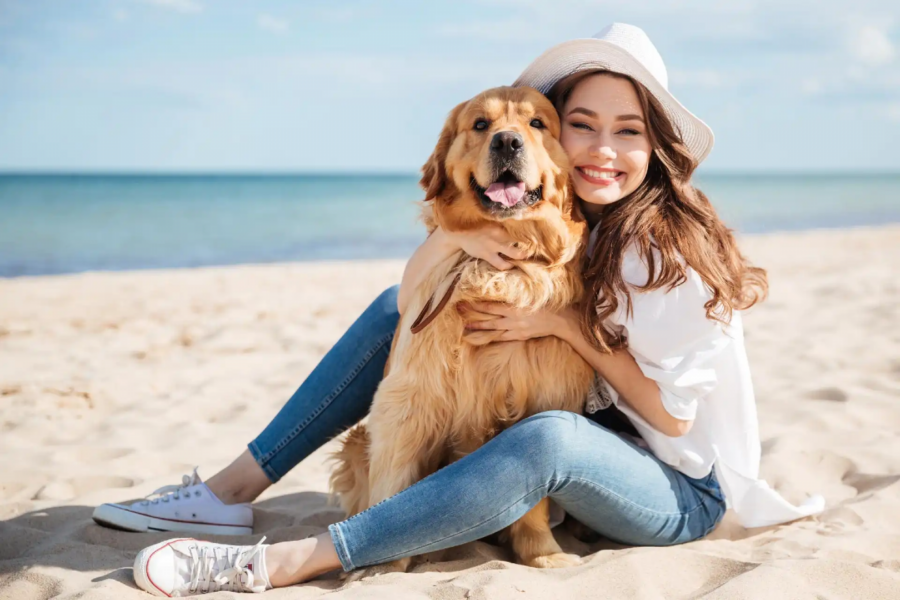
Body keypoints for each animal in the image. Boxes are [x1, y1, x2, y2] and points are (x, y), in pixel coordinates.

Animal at [330, 84, 596, 572]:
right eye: (480, 124)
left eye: (537, 123)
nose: (507, 142)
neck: (501, 262)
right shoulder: (408, 400)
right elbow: (393, 491)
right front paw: (384, 568)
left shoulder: (542, 399)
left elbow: (536, 497)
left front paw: (543, 553)